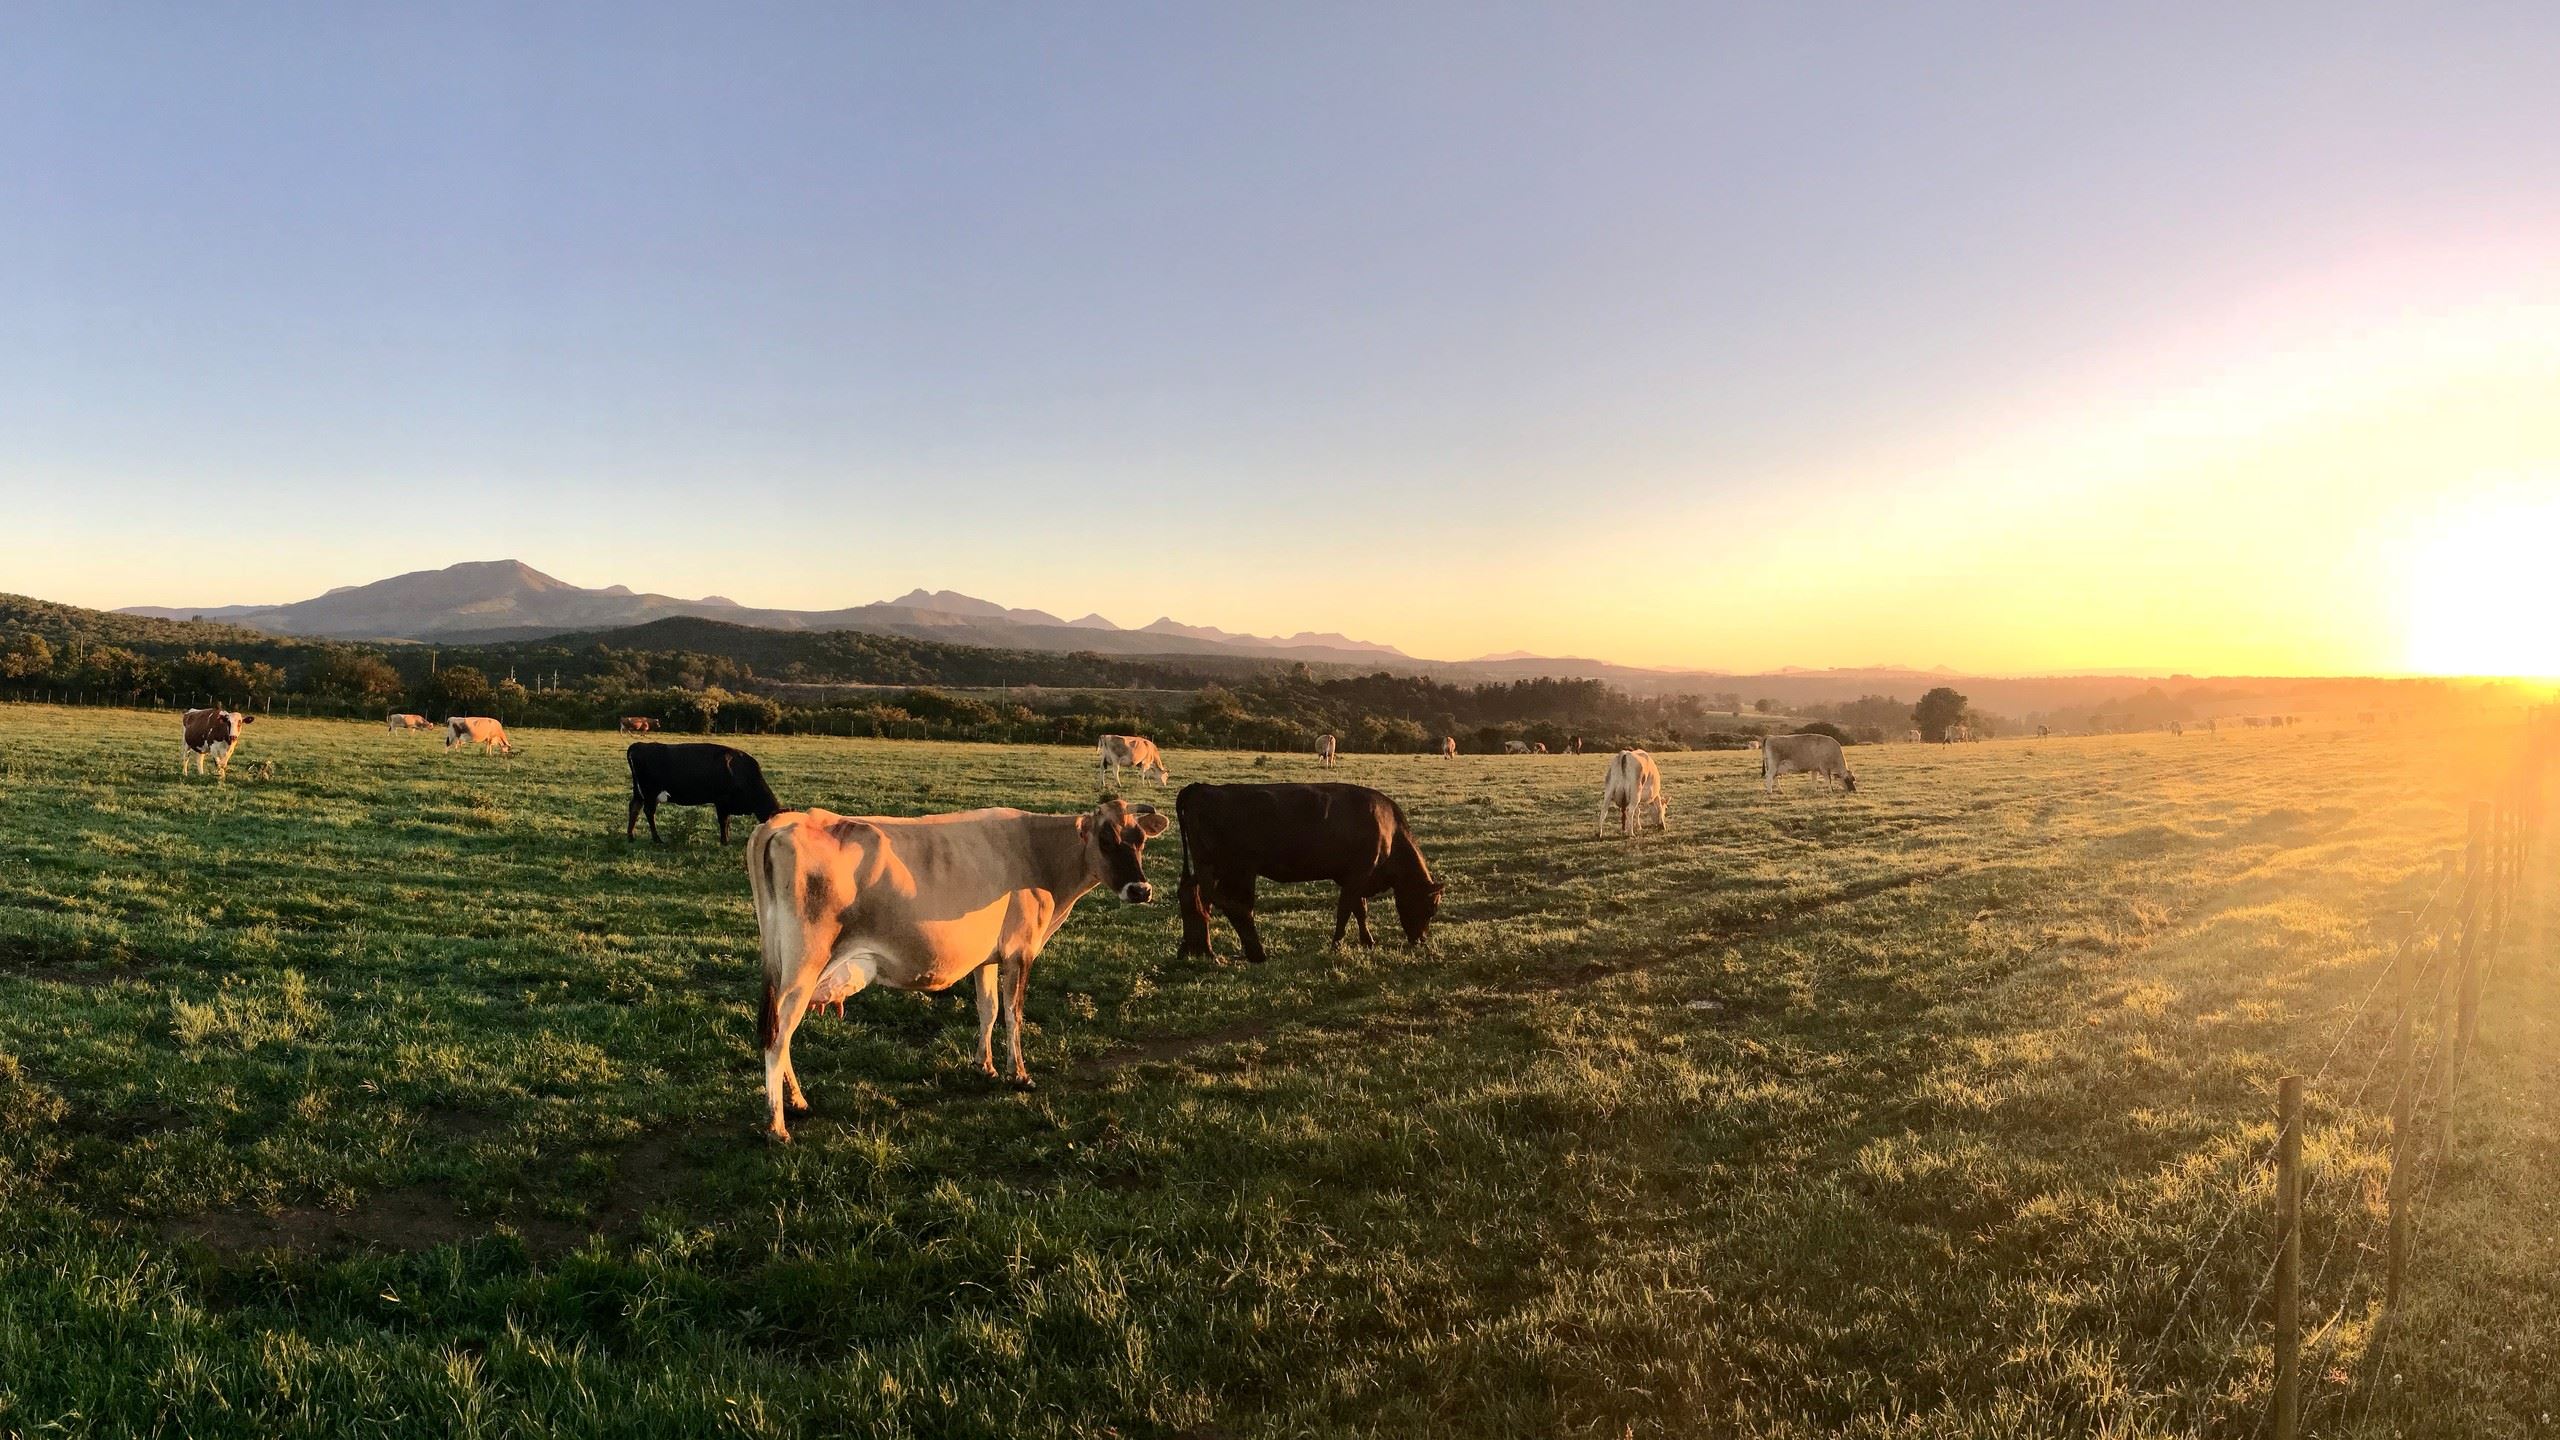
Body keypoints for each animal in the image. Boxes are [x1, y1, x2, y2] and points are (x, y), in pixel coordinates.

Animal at [622, 737, 778, 840]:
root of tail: (639, 745)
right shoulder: (721, 800)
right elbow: (724, 821)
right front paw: (724, 841)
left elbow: (727, 821)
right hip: (650, 792)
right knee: (648, 811)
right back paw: (657, 839)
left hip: (639, 792)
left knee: (634, 807)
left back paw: (631, 836)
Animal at [742, 794, 1172, 1132]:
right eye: (1106, 840)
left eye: (1140, 841)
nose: (1141, 890)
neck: (1037, 852)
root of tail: (788, 821)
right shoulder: (1020, 949)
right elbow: (1014, 1012)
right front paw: (1020, 1075)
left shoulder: (988, 956)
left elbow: (989, 1008)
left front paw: (986, 1066)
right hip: (802, 968)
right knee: (779, 1036)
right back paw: (777, 1125)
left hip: (786, 969)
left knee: (782, 1033)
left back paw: (798, 1104)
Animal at [1172, 778, 1443, 958]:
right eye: (1431, 909)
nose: (1421, 940)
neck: (1389, 828)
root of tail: (1200, 787)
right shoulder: (1359, 874)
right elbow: (1345, 910)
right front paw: (1336, 944)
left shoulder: (1351, 877)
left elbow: (1359, 910)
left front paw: (1367, 941)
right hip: (1228, 868)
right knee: (1224, 903)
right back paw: (1242, 952)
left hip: (1212, 868)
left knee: (1192, 896)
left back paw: (1194, 950)